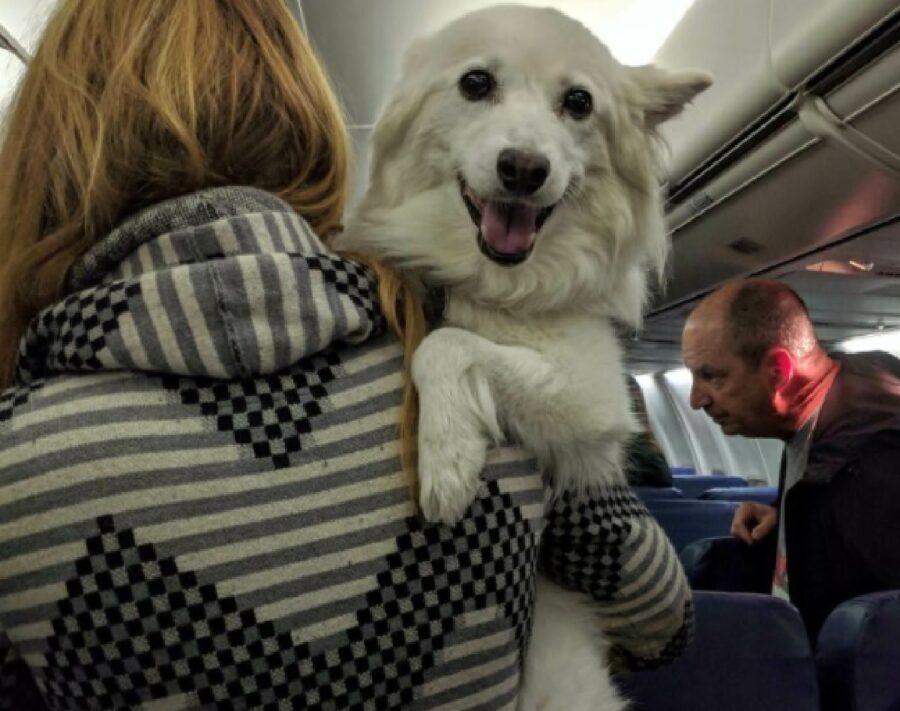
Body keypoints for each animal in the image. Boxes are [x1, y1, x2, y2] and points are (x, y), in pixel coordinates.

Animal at [334, 6, 708, 711]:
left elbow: (443, 343)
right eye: (475, 83)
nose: (524, 169)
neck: (494, 282)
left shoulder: (593, 393)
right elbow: (447, 339)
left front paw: (447, 458)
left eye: (579, 102)